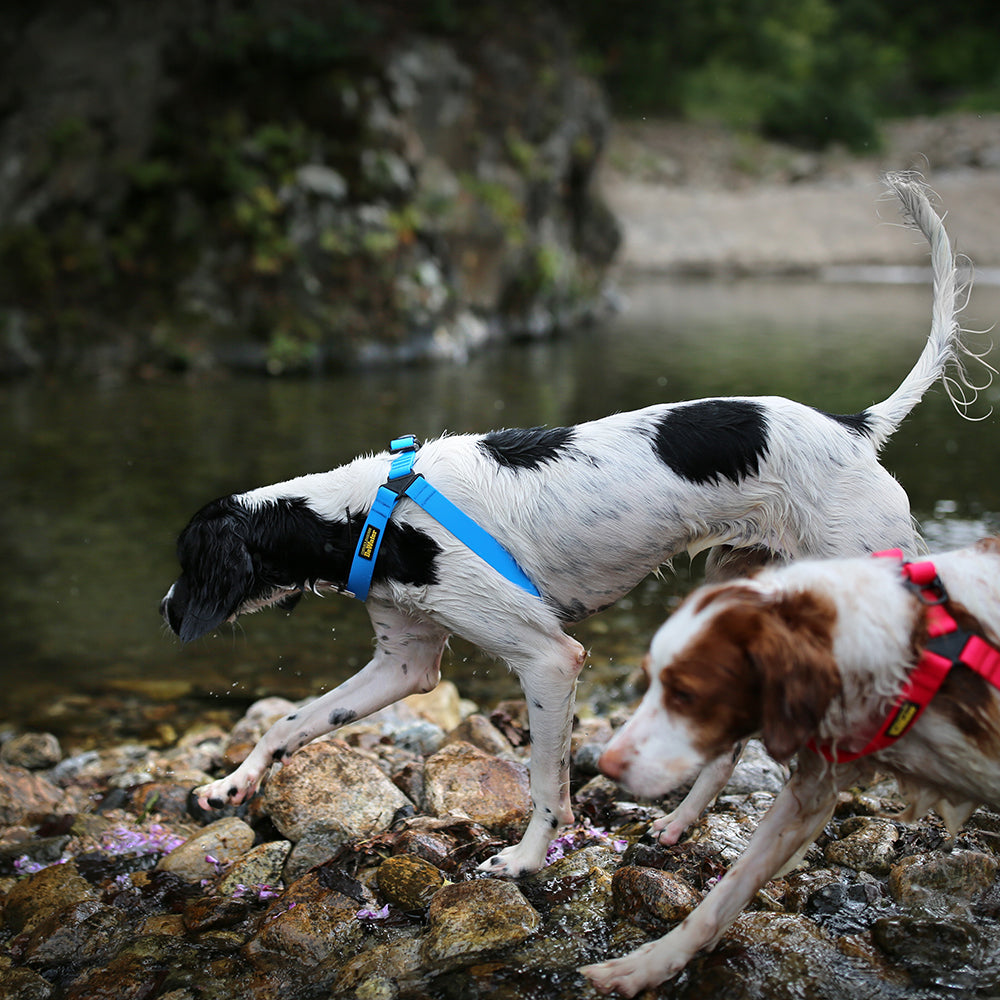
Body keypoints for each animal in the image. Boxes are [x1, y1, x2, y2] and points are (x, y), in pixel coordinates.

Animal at [164, 174, 984, 876]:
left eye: (188, 567)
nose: (167, 610)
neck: (372, 512)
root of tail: (853, 429)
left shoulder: (549, 659)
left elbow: (544, 782)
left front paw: (526, 860)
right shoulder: (405, 663)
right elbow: (291, 723)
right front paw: (232, 785)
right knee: (726, 744)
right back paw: (679, 823)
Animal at [584, 540, 1000, 992]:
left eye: (685, 694)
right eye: (650, 680)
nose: (605, 764)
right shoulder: (811, 785)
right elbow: (729, 888)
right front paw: (649, 964)